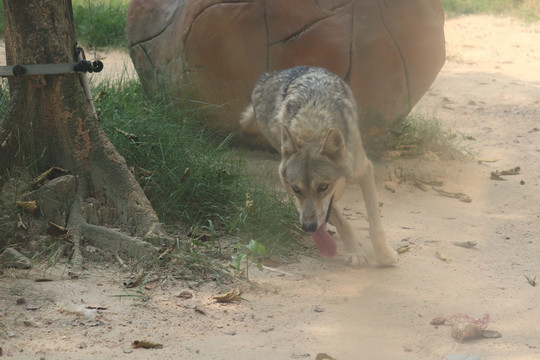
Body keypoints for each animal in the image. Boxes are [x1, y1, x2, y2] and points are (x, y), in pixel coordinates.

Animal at [240, 66, 396, 266]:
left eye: (323, 187)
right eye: (296, 189)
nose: (308, 227)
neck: (312, 127)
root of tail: (272, 74)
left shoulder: (365, 170)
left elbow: (375, 222)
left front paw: (384, 255)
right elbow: (343, 221)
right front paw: (354, 252)